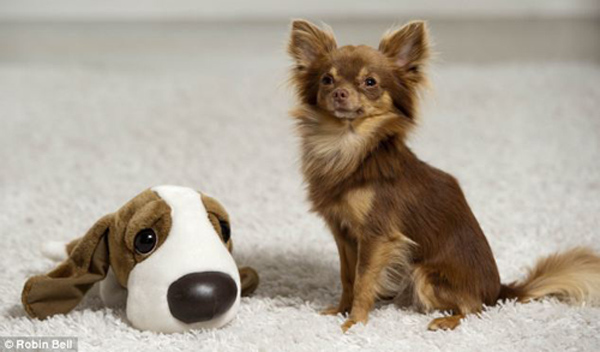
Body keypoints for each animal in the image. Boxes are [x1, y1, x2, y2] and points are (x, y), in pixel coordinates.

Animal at [284, 19, 600, 332]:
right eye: (327, 80)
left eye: (370, 82)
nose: (339, 93)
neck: (344, 146)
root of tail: (499, 291)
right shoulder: (344, 233)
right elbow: (348, 277)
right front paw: (340, 311)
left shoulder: (377, 236)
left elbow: (363, 281)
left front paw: (355, 323)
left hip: (423, 273)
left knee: (475, 309)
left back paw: (447, 319)